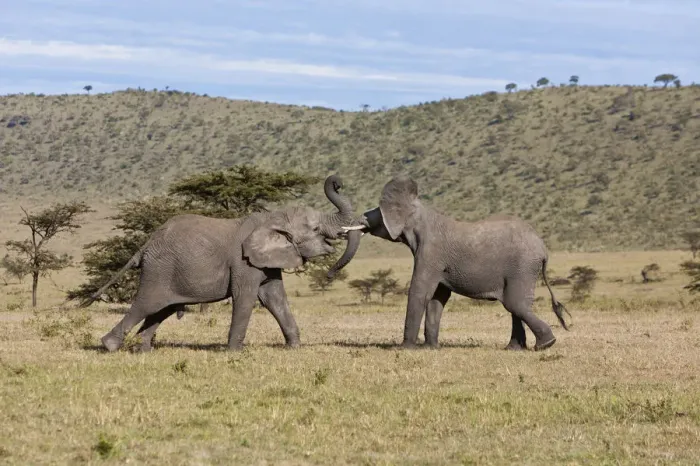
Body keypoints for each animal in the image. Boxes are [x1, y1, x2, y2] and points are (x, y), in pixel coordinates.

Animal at [81, 174, 363, 352]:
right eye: (315, 229)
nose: (337, 182)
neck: (273, 217)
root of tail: (146, 245)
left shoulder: (265, 262)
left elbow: (275, 298)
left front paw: (294, 348)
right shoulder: (243, 263)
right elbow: (246, 298)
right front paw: (235, 352)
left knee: (162, 309)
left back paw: (143, 350)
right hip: (159, 270)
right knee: (146, 305)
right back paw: (109, 346)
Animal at [328, 175, 571, 351]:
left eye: (376, 213)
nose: (330, 274)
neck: (420, 211)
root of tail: (543, 249)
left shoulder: (430, 252)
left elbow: (420, 291)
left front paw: (405, 348)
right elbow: (438, 297)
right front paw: (430, 348)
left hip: (522, 266)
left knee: (515, 304)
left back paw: (545, 345)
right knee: (516, 306)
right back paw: (514, 349)